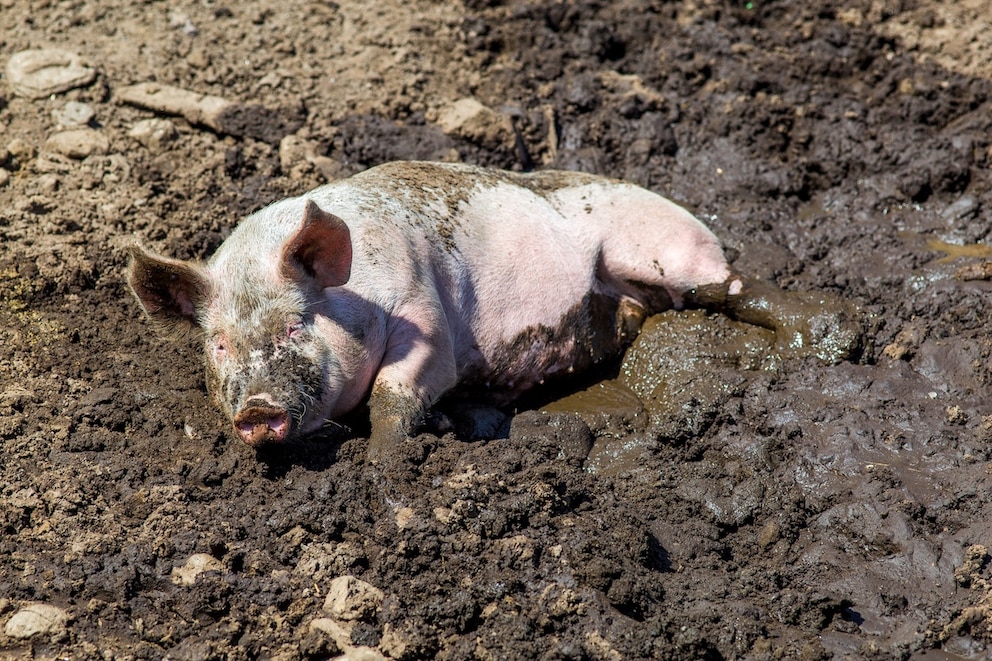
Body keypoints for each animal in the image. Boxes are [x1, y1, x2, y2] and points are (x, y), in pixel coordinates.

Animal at [128, 160, 859, 461]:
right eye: (220, 344)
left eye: (294, 323)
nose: (257, 409)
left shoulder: (426, 316)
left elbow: (396, 393)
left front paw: (384, 466)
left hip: (666, 248)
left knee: (729, 285)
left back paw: (825, 340)